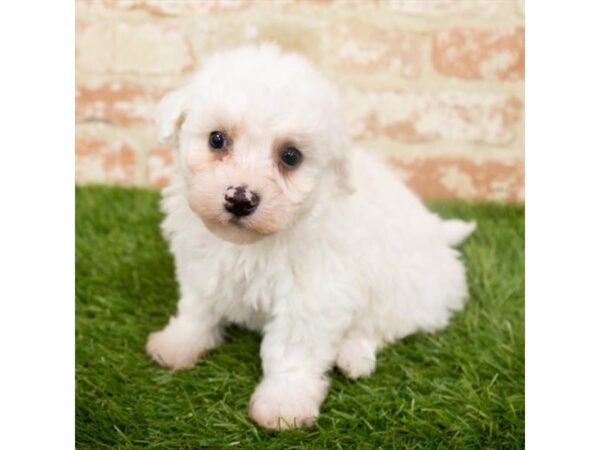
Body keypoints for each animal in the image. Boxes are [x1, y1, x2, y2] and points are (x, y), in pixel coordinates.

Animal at [145, 44, 474, 430]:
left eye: (291, 156)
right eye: (217, 139)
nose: (240, 199)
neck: (252, 245)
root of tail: (439, 233)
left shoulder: (314, 294)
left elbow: (292, 349)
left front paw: (283, 403)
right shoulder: (202, 264)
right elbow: (198, 307)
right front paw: (179, 343)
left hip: (411, 289)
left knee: (384, 324)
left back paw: (354, 355)